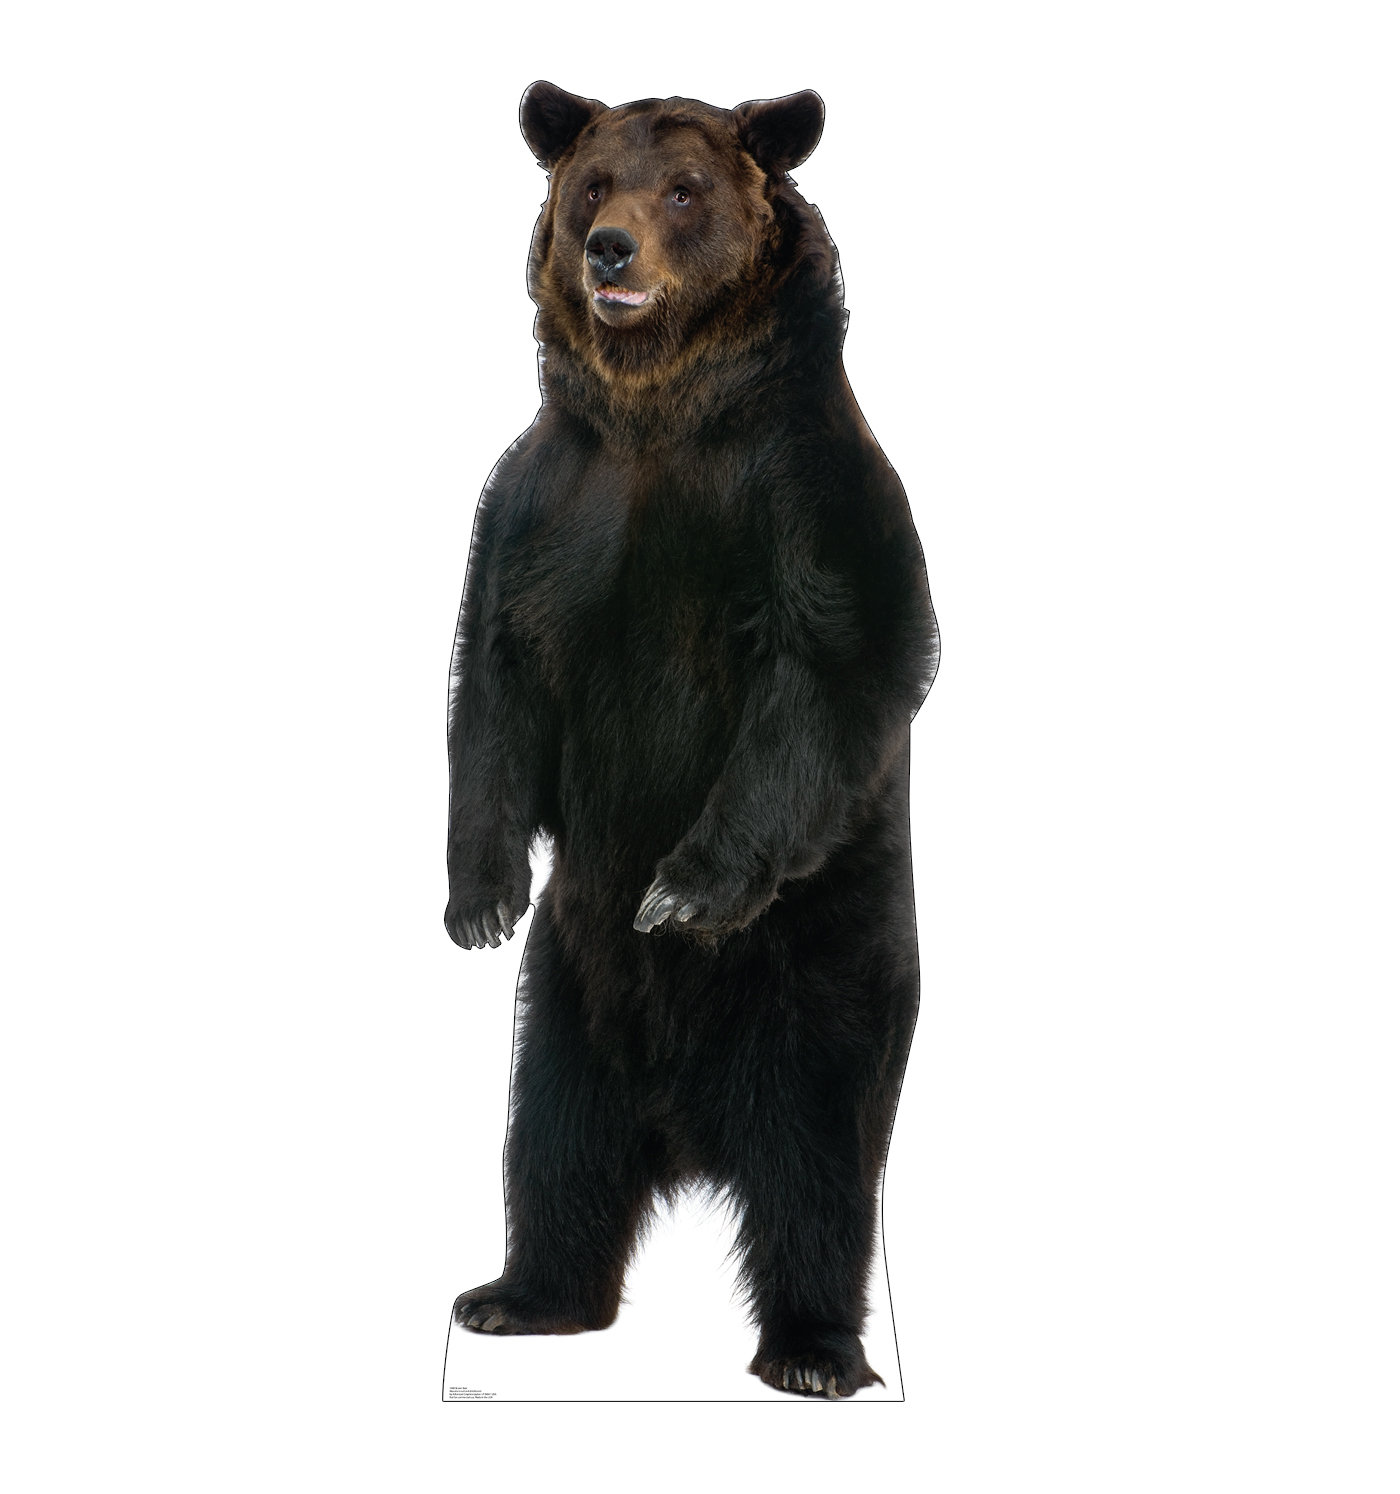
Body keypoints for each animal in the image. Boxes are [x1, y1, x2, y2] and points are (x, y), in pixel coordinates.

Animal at [445, 81, 939, 1399]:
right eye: (591, 185)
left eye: (683, 190)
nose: (610, 249)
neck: (659, 410)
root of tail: (688, 1127)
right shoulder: (545, 503)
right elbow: (494, 684)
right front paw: (478, 897)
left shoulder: (802, 494)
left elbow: (826, 670)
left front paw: (680, 890)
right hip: (567, 997)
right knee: (552, 1140)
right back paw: (519, 1294)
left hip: (826, 970)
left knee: (820, 1169)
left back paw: (813, 1350)